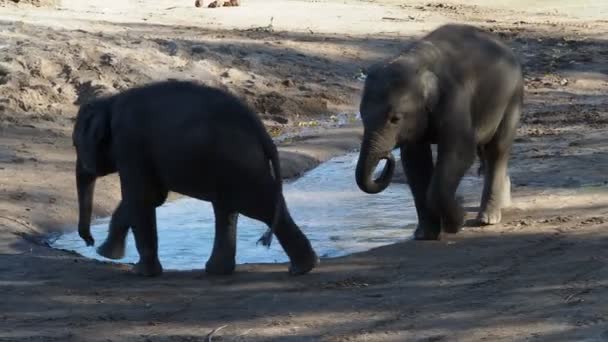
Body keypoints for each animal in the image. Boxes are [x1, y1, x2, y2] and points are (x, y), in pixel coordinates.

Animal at [74, 81, 320, 278]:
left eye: (76, 144)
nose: (89, 241)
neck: (109, 103)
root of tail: (262, 131)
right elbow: (149, 198)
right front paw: (107, 254)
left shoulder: (129, 143)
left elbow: (140, 198)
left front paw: (136, 271)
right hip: (235, 165)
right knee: (231, 208)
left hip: (239, 163)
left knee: (257, 205)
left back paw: (299, 268)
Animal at [356, 24, 524, 239]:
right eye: (361, 116)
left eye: (395, 119)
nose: (387, 156)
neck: (416, 61)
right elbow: (415, 161)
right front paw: (424, 235)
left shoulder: (455, 98)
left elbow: (460, 153)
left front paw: (457, 222)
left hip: (512, 98)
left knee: (497, 149)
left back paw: (487, 219)